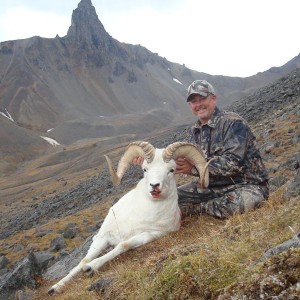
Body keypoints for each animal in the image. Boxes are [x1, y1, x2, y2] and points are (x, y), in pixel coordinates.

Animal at [48, 142, 209, 294]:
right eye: (145, 169)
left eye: (172, 170)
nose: (155, 186)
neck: (143, 214)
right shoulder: (103, 237)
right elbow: (83, 260)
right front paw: (55, 288)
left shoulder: (152, 234)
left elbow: (123, 245)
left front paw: (90, 268)